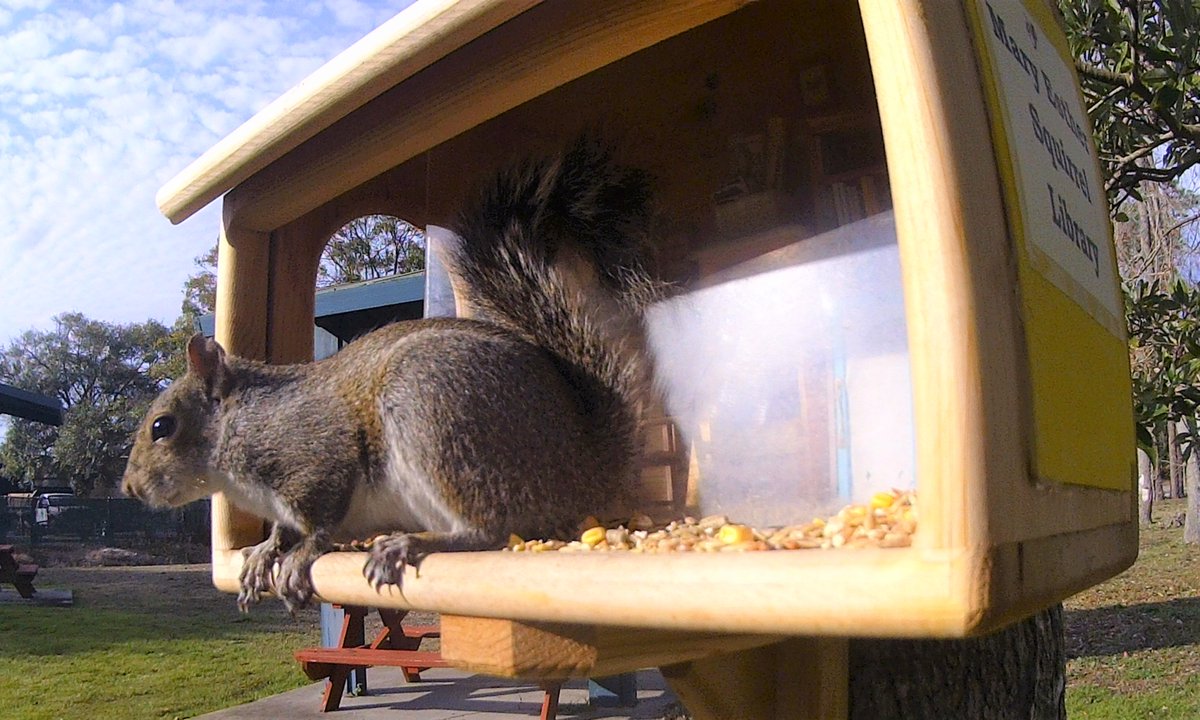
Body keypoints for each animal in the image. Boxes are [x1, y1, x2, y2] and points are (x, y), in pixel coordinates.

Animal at [121, 141, 659, 611]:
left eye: (162, 426)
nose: (130, 490)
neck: (238, 426)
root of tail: (585, 466)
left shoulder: (314, 456)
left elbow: (320, 519)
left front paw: (300, 554)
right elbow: (283, 529)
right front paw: (265, 553)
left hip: (434, 412)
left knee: (495, 527)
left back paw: (413, 544)